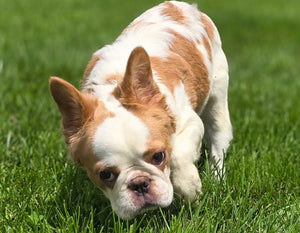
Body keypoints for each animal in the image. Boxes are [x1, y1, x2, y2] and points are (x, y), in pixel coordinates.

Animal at [49, 0, 233, 219]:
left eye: (159, 157)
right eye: (105, 175)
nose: (139, 183)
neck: (113, 85)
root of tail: (181, 5)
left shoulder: (190, 123)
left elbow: (178, 155)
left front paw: (190, 189)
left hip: (217, 95)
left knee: (218, 140)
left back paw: (216, 177)